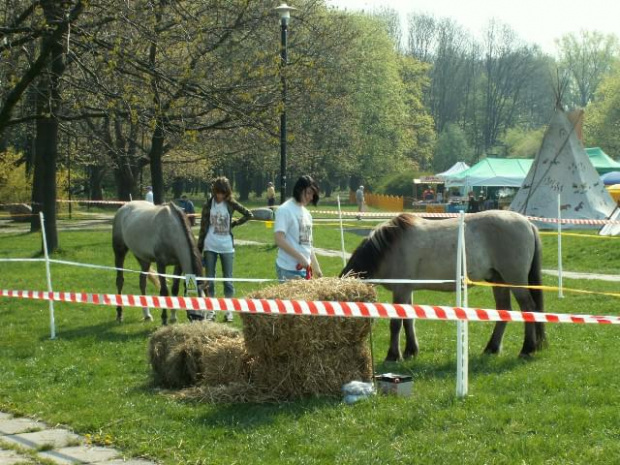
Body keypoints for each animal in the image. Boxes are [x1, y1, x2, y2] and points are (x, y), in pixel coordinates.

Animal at [340, 209, 548, 358]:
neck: (389, 248)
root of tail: (528, 223)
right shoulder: (407, 290)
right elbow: (408, 320)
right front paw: (410, 351)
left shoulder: (400, 290)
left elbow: (396, 323)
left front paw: (393, 355)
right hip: (498, 280)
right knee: (504, 309)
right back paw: (492, 348)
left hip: (515, 280)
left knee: (528, 308)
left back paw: (527, 349)